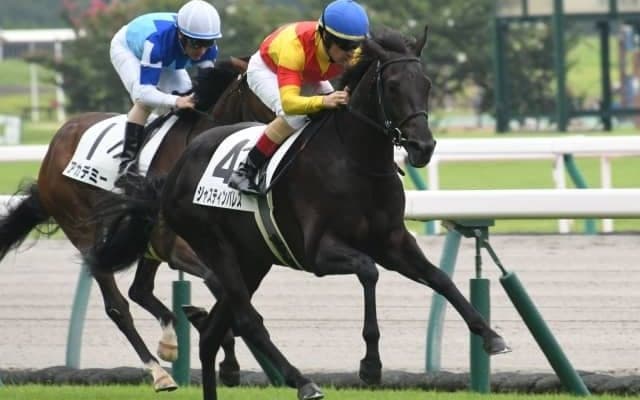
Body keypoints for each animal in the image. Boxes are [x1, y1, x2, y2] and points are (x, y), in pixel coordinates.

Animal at [0, 57, 255, 391]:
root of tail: (50, 156)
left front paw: (227, 356)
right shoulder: (176, 246)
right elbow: (218, 283)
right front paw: (226, 357)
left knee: (139, 290)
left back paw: (169, 341)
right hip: (86, 233)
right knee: (119, 306)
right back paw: (159, 372)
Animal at [88, 26, 510, 400]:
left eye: (426, 85)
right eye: (392, 86)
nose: (423, 147)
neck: (355, 160)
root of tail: (173, 173)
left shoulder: (392, 241)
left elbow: (440, 278)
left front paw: (491, 336)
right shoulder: (317, 253)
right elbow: (369, 272)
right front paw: (371, 365)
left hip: (252, 259)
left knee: (212, 334)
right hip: (216, 248)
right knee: (248, 321)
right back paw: (303, 381)